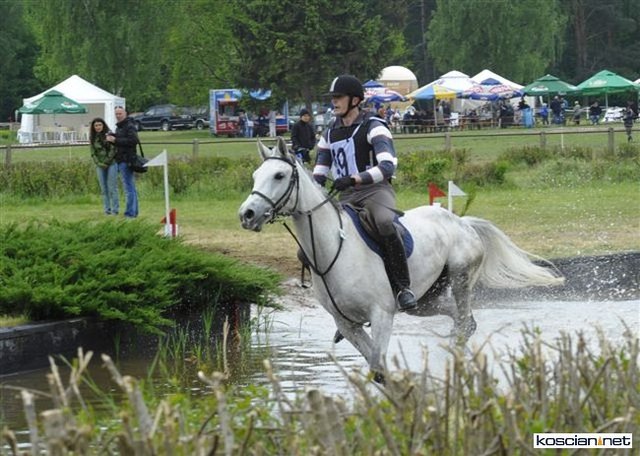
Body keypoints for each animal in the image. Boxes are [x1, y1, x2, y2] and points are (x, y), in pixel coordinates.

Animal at [238, 137, 564, 379]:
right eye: (255, 176)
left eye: (279, 175)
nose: (247, 214)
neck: (333, 249)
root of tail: (462, 222)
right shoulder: (348, 324)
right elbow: (376, 367)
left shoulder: (381, 315)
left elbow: (378, 369)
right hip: (424, 301)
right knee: (462, 320)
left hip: (460, 279)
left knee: (462, 323)